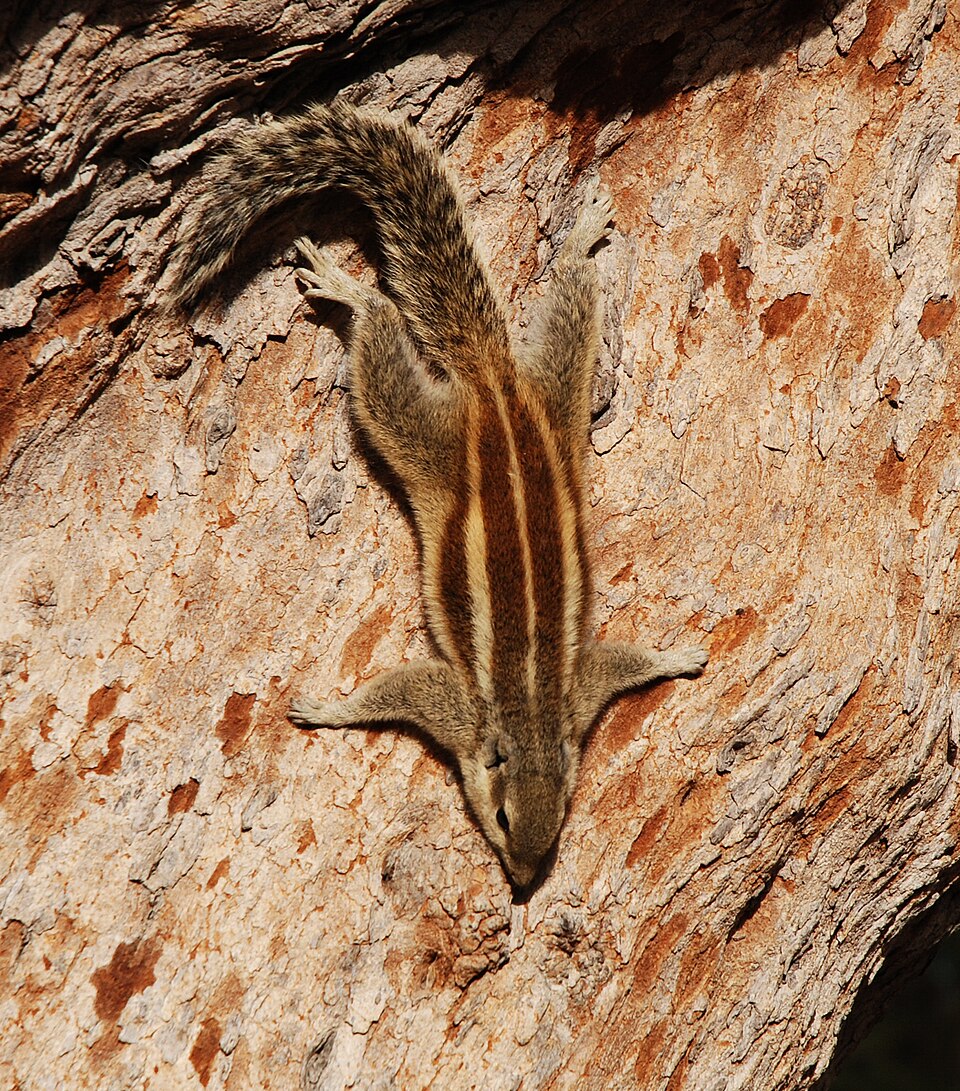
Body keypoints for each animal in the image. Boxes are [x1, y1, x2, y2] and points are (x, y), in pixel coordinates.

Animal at [169, 101, 707, 890]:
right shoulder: (454, 704)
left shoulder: (580, 694)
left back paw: (578, 240)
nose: (523, 882)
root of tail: (491, 382)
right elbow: (394, 691)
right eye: (504, 817)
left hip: (556, 390)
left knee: (572, 299)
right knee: (381, 338)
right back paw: (352, 289)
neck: (531, 717)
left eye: (562, 816)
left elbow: (623, 661)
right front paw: (330, 708)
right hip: (420, 429)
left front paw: (676, 657)